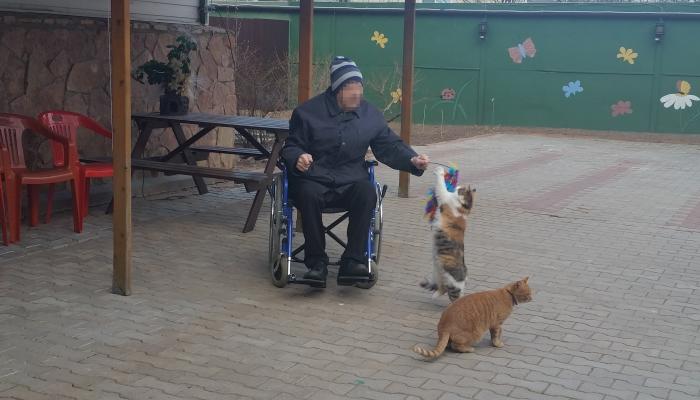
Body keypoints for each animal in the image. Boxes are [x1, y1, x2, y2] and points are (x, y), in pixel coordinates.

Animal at [422, 166, 476, 300]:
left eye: (461, 189)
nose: (457, 186)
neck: (464, 207)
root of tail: (465, 274)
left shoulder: (444, 196)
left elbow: (441, 185)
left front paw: (440, 170)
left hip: (453, 285)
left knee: (454, 297)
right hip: (438, 273)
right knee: (442, 288)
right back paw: (435, 295)